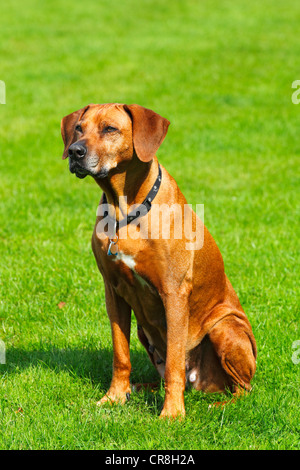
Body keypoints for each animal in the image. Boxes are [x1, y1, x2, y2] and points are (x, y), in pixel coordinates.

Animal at [60, 103, 255, 418]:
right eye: (78, 128)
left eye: (110, 129)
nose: (75, 151)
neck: (125, 210)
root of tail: (201, 385)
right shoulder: (113, 291)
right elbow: (120, 354)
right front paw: (114, 397)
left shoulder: (173, 292)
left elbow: (175, 361)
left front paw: (172, 413)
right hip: (144, 331)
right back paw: (141, 388)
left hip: (225, 326)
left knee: (243, 389)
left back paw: (219, 404)